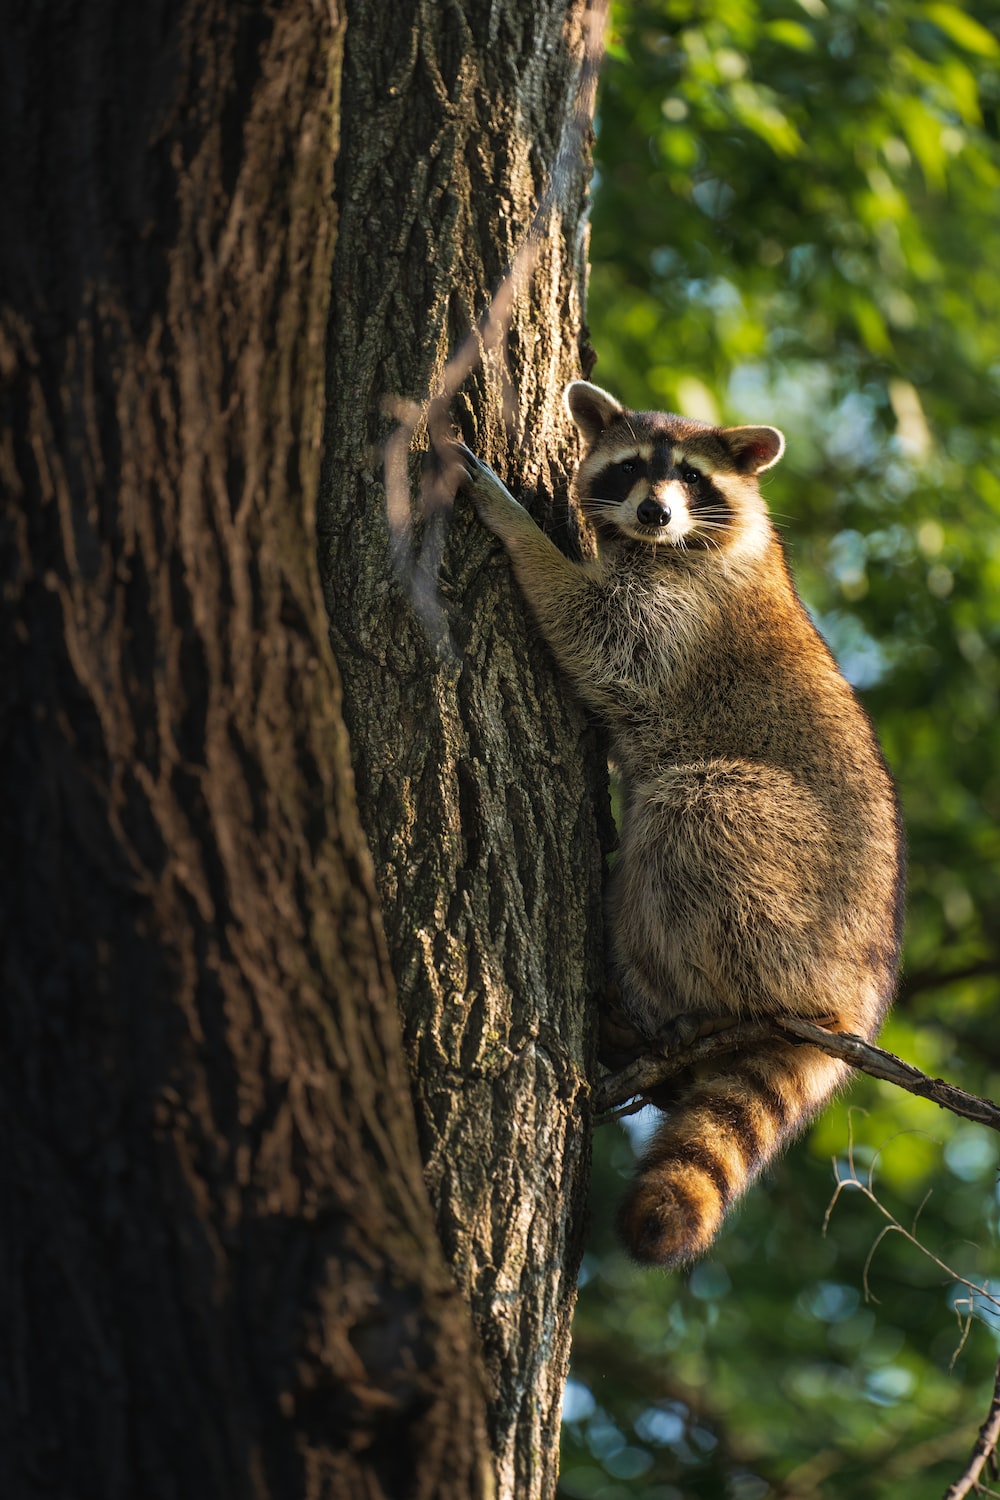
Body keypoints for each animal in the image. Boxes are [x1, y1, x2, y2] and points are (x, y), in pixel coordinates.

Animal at [457, 380, 904, 1268]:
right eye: (632, 468)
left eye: (693, 479)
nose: (655, 513)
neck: (662, 545)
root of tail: (855, 993)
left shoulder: (684, 609)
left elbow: (597, 630)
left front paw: (516, 527)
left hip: (790, 875)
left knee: (689, 816)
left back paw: (659, 1001)